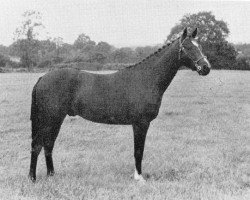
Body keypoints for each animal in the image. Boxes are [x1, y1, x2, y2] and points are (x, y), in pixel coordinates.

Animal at [27, 28, 211, 183]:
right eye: (187, 47)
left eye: (200, 46)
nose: (206, 67)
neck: (147, 78)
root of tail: (42, 78)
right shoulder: (140, 123)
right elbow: (138, 151)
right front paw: (139, 178)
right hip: (49, 119)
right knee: (37, 145)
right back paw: (33, 178)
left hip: (56, 119)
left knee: (48, 145)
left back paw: (52, 175)